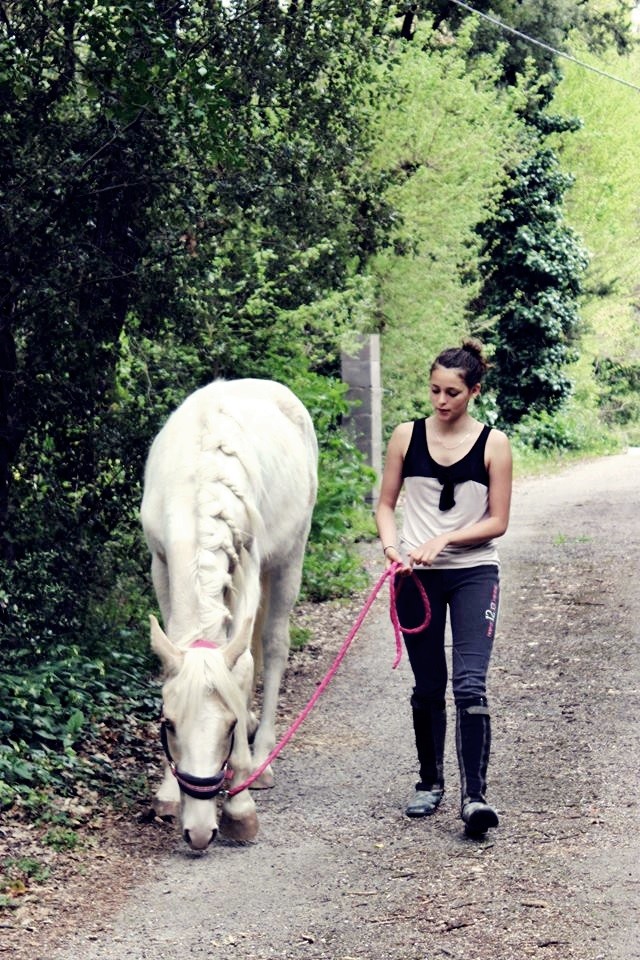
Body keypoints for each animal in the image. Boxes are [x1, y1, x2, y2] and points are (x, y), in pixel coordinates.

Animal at [141, 378, 318, 852]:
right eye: (168, 724)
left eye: (228, 726)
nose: (200, 832)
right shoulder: (161, 564)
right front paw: (168, 793)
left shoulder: (251, 563)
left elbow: (242, 666)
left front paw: (240, 806)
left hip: (290, 556)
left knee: (272, 646)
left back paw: (262, 758)